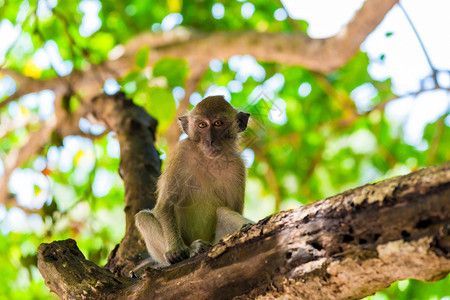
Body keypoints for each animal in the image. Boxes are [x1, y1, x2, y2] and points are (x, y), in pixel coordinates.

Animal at [134, 95, 253, 264]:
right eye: (202, 125)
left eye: (218, 123)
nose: (210, 141)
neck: (209, 160)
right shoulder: (182, 152)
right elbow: (165, 204)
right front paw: (176, 250)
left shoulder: (238, 167)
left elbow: (233, 208)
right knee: (143, 217)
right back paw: (192, 250)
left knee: (223, 211)